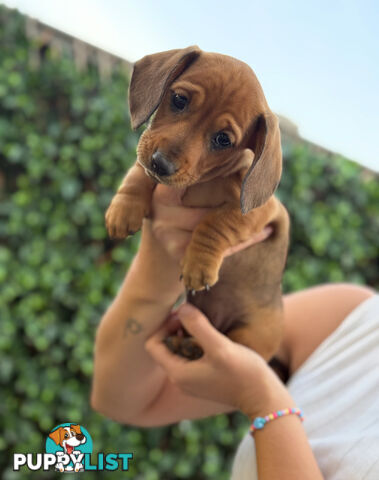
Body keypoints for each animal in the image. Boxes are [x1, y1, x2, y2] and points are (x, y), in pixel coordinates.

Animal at [107, 47, 290, 362]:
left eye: (223, 139)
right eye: (179, 99)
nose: (161, 164)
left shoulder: (260, 212)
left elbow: (216, 222)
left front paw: (199, 264)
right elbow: (138, 174)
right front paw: (124, 208)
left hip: (248, 335)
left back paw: (191, 347)